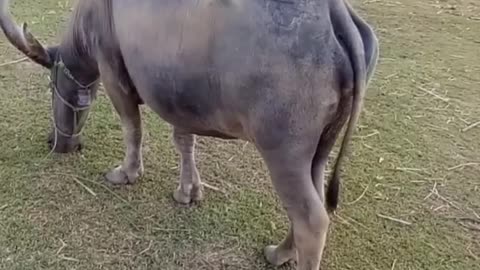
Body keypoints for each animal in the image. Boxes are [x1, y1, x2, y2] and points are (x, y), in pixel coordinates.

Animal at [0, 0, 378, 268]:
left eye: (51, 85)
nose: (55, 141)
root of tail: (335, 13)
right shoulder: (177, 92)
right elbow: (184, 141)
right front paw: (189, 191)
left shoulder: (112, 71)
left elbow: (132, 127)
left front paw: (127, 172)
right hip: (320, 148)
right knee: (313, 202)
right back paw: (280, 252)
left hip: (284, 152)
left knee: (311, 219)